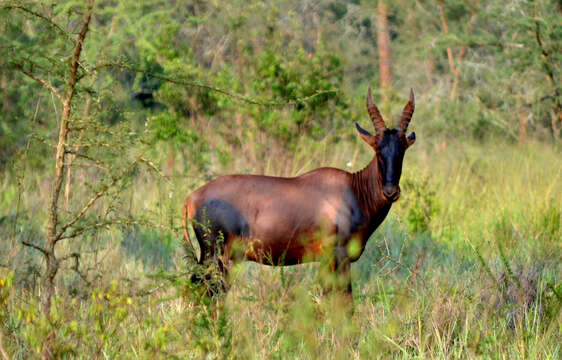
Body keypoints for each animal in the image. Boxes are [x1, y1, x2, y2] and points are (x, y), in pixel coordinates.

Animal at [182, 87, 414, 298]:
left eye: (402, 149)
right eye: (377, 149)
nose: (390, 192)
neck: (353, 189)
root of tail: (192, 197)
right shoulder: (338, 256)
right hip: (214, 255)